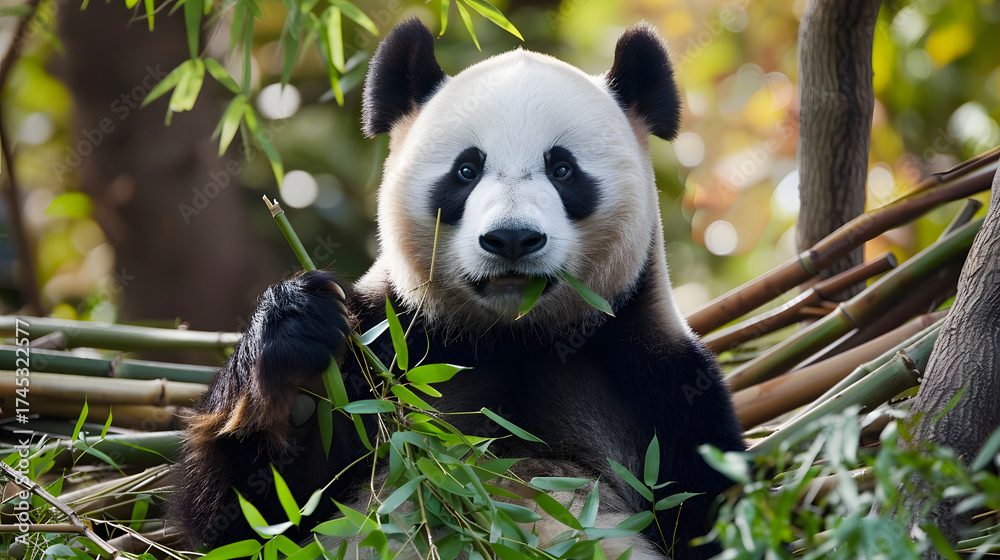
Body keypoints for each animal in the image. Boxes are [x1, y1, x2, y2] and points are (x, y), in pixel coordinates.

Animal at [173, 19, 745, 560]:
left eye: (563, 169)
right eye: (466, 169)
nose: (512, 238)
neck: (512, 337)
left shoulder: (661, 389)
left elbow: (706, 511)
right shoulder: (383, 351)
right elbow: (247, 518)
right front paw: (295, 354)